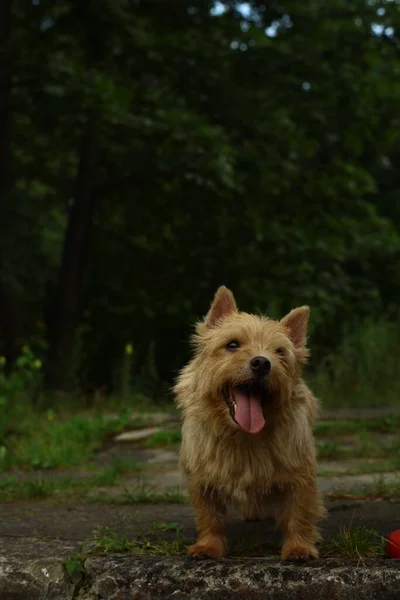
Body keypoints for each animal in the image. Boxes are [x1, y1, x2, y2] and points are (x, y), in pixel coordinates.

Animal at [174, 284, 324, 556]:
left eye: (279, 353)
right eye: (232, 344)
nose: (262, 362)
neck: (243, 437)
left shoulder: (300, 473)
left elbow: (299, 513)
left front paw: (299, 547)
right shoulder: (201, 478)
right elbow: (209, 516)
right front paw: (208, 546)